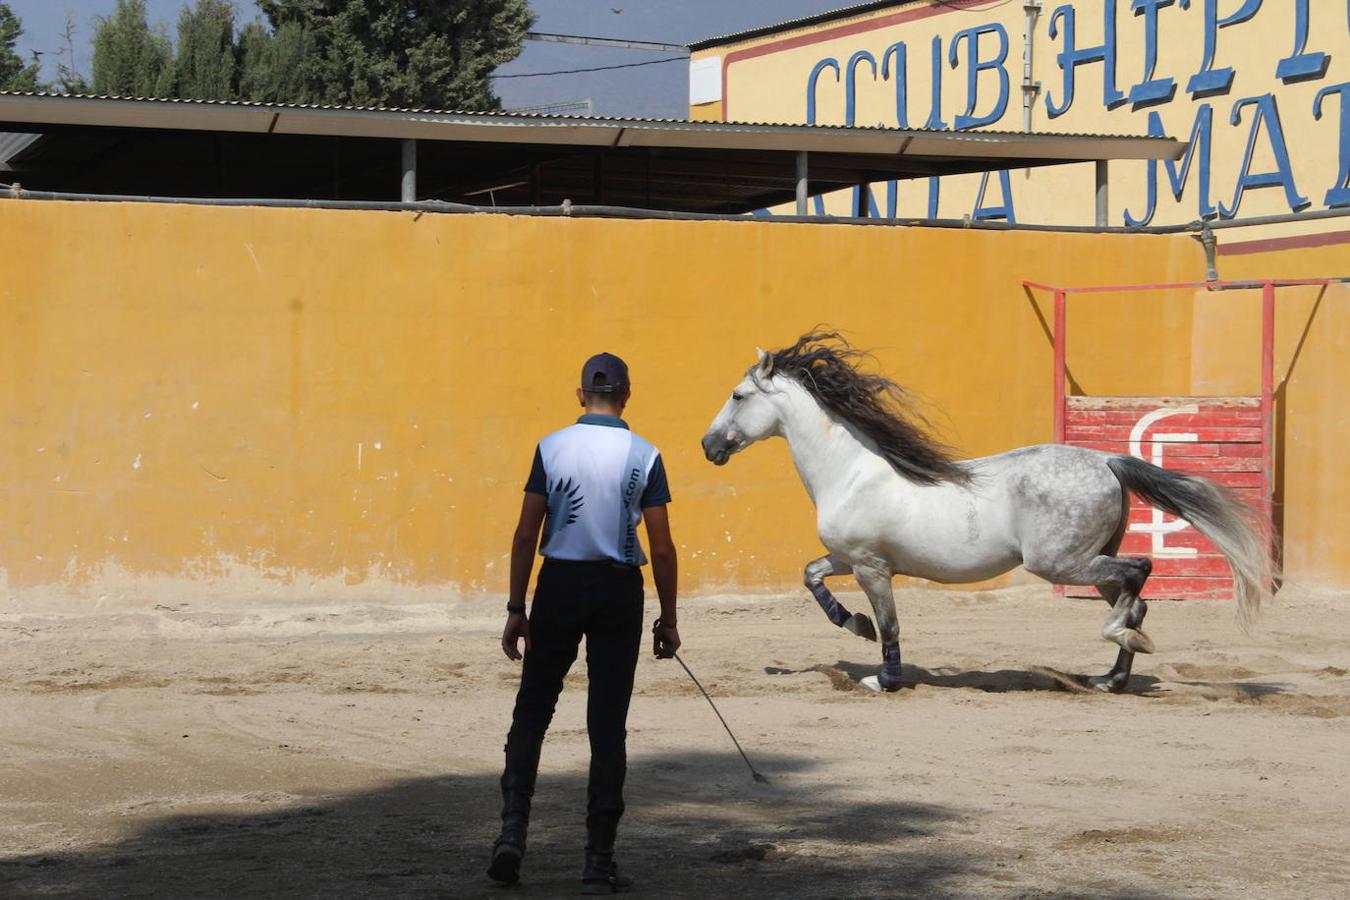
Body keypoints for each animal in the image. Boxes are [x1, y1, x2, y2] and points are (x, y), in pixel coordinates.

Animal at [702, 334, 1269, 696]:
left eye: (738, 395)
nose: (709, 446)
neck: (851, 472)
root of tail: (1106, 460)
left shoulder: (871, 567)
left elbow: (891, 625)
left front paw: (883, 678)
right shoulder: (848, 559)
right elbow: (812, 575)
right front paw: (854, 625)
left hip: (1060, 563)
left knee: (1140, 572)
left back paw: (1121, 641)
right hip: (1089, 560)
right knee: (1137, 598)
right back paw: (1111, 677)